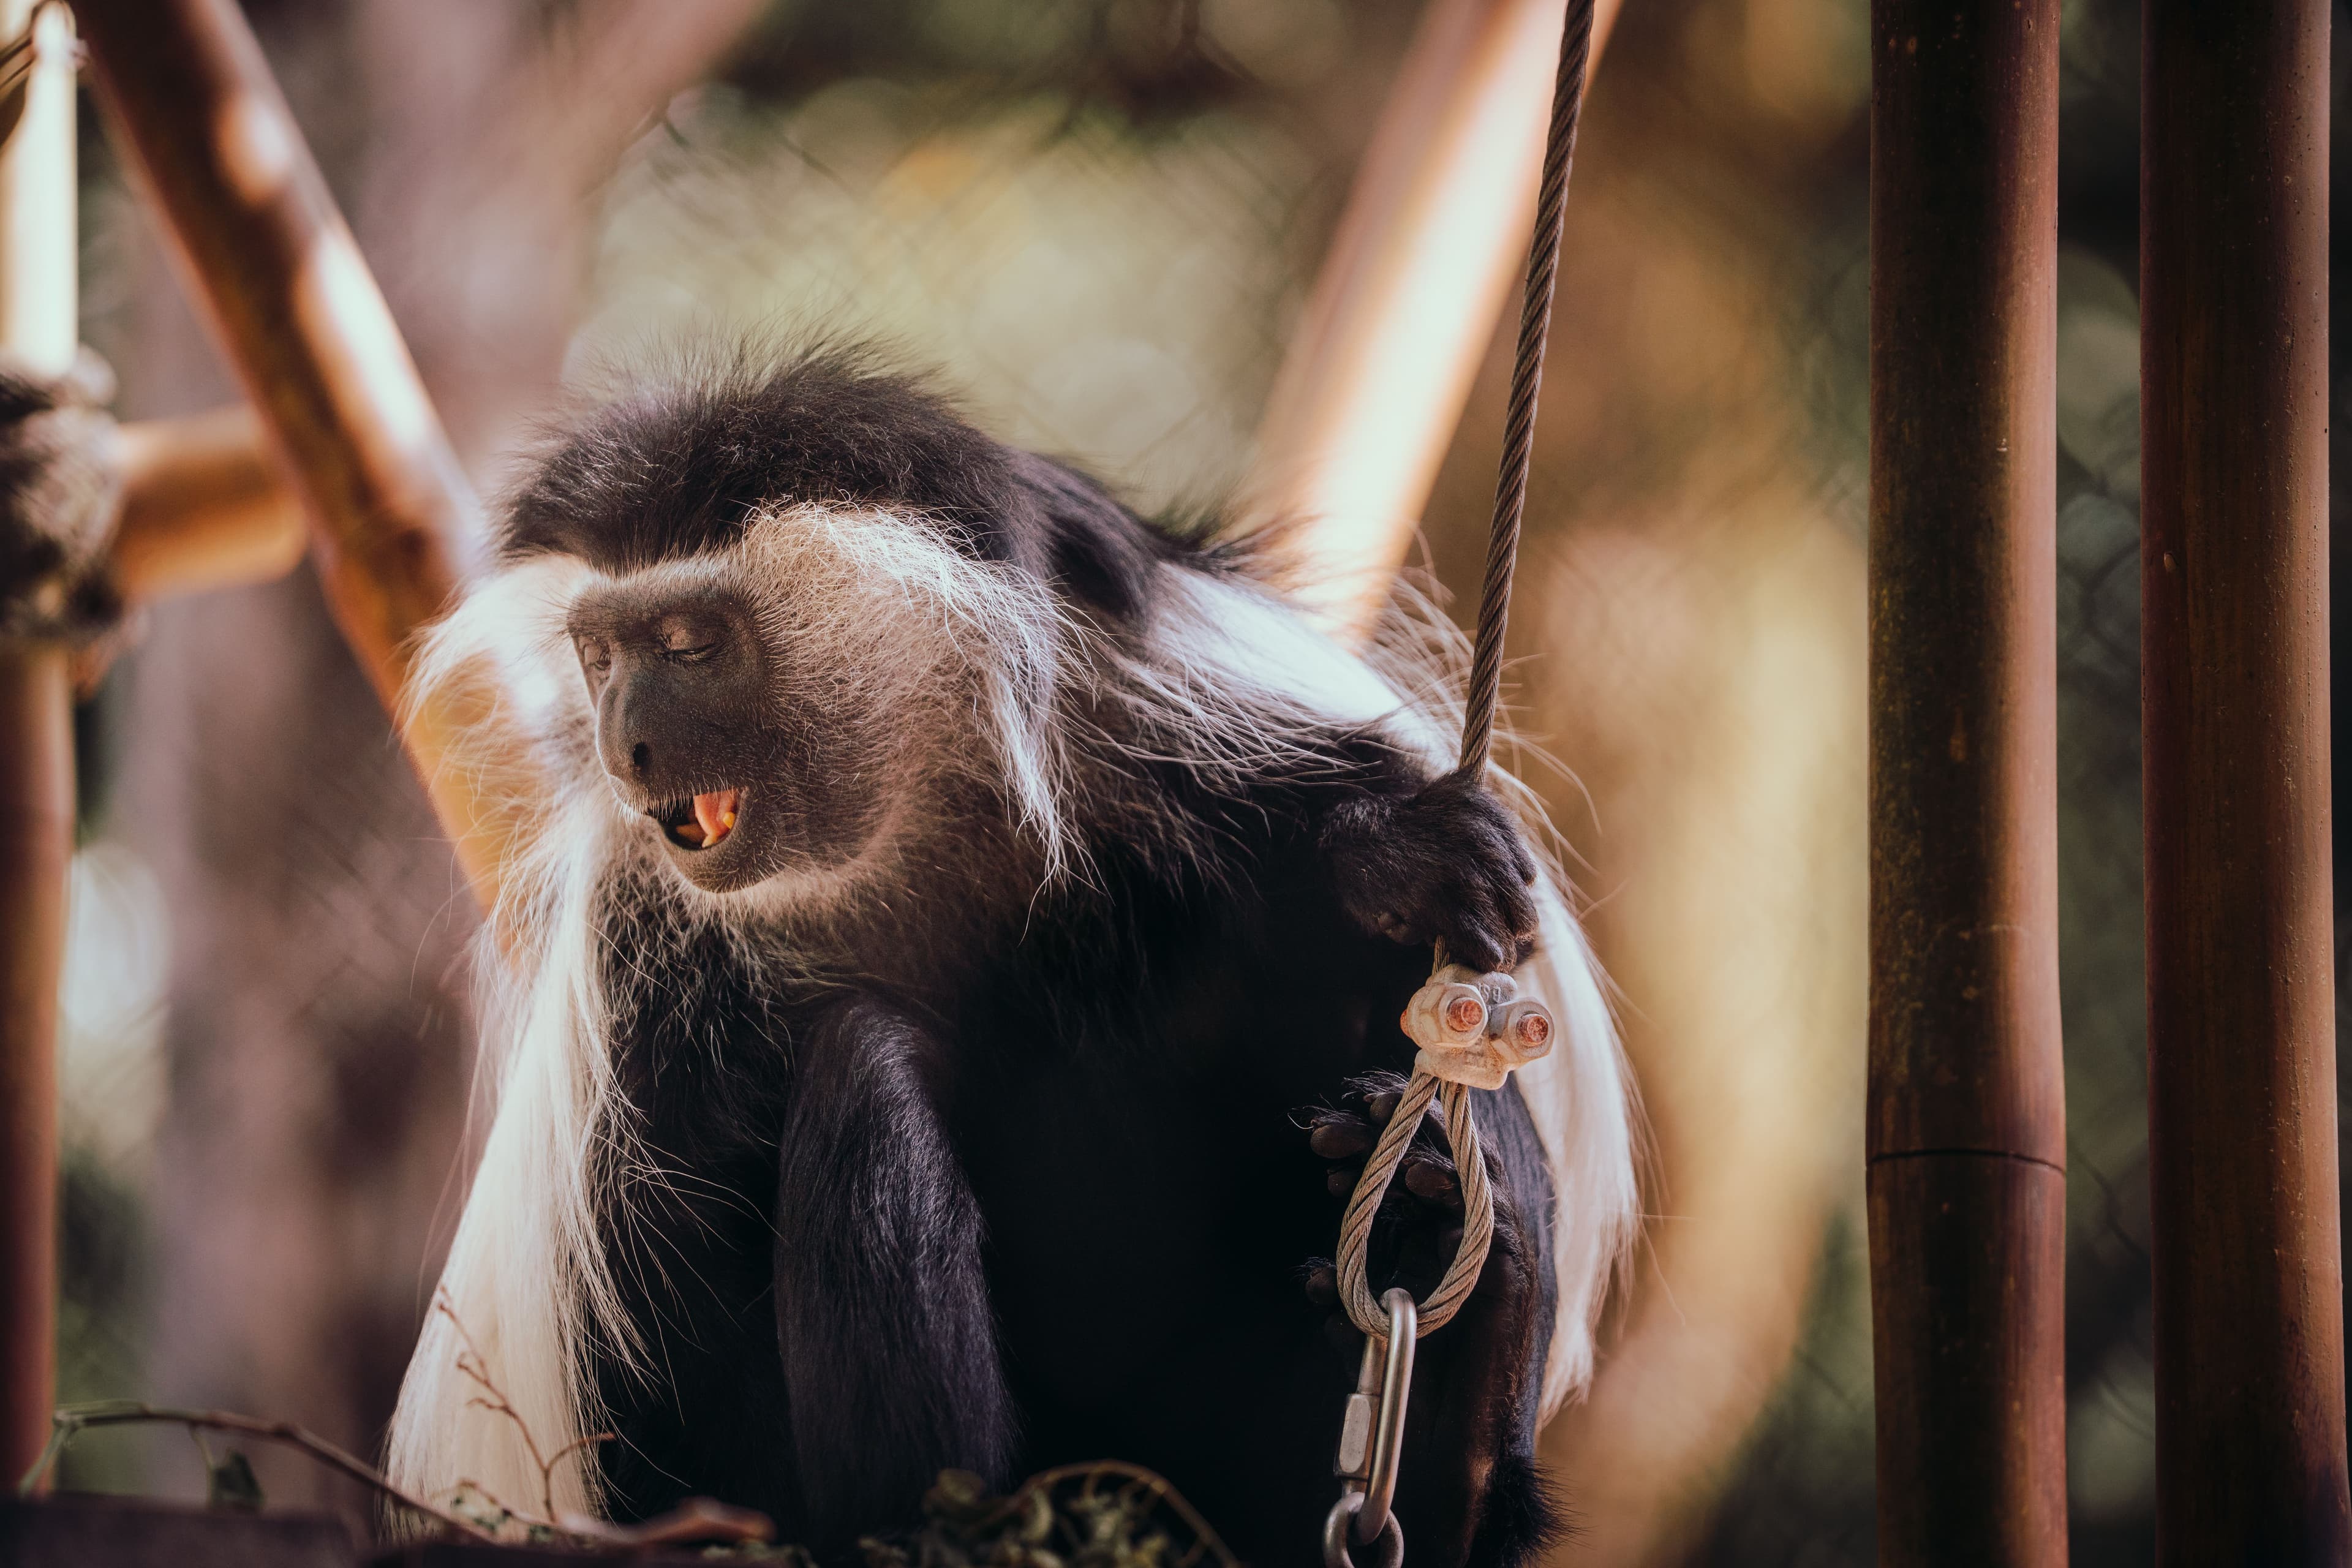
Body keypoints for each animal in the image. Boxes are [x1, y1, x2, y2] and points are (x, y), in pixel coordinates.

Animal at [0, 345, 1637, 1568]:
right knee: (863, 1075)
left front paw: (1393, 865)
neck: (913, 819)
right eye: (601, 653)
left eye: (691, 642)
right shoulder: (646, 956)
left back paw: (1459, 1293)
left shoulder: (1187, 709)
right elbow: (644, 1383)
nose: (627, 740)